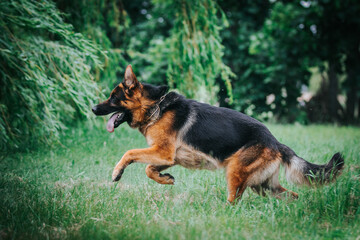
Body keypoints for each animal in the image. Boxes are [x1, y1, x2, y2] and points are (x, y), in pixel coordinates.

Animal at [91, 64, 344, 202]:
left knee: (234, 200)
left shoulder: (162, 152)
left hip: (236, 174)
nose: (93, 109)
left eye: (113, 98)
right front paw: (165, 179)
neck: (156, 107)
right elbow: (148, 168)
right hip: (263, 185)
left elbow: (130, 153)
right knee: (291, 195)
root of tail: (275, 142)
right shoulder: (168, 157)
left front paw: (117, 172)